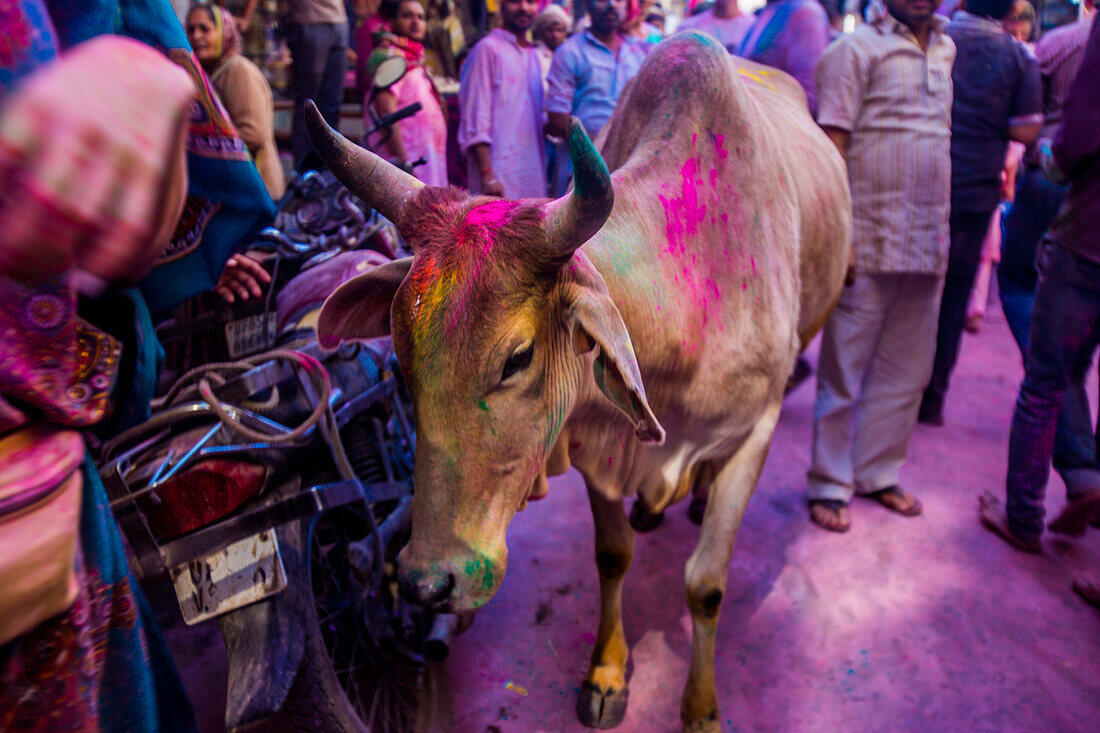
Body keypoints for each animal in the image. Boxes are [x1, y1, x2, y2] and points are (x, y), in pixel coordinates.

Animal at [310, 31, 849, 726]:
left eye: (517, 358)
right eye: (401, 352)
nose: (428, 582)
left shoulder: (755, 431)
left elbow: (706, 586)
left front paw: (700, 707)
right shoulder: (597, 444)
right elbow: (612, 556)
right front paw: (607, 673)